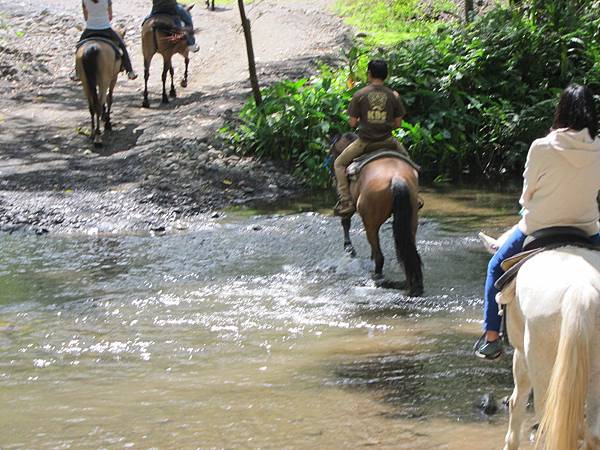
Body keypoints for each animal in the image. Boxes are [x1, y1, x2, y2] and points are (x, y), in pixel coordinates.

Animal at [330, 132, 424, 298]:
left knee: (380, 256)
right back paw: (412, 285)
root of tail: (396, 178)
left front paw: (349, 248)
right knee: (408, 252)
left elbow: (345, 220)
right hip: (411, 221)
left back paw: (377, 276)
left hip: (371, 224)